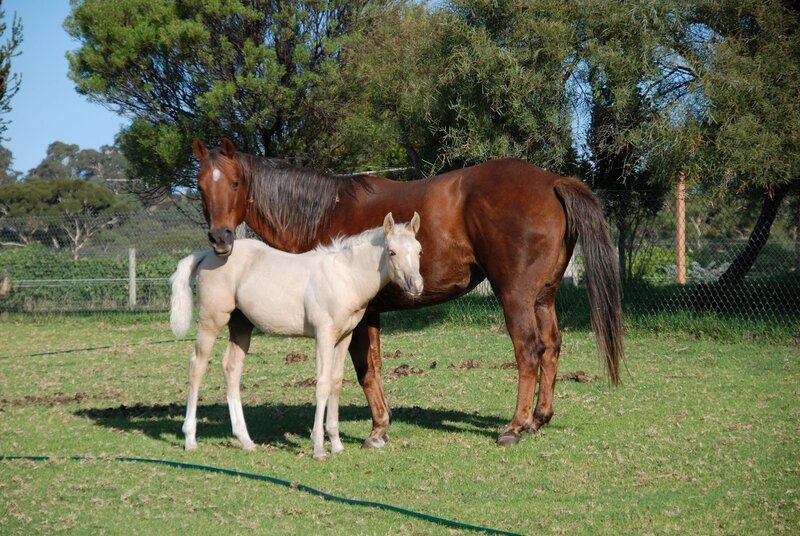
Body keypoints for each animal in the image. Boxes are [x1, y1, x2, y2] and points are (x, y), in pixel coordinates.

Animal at [169, 212, 423, 460]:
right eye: (392, 252)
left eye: (419, 251)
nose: (417, 285)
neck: (344, 277)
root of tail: (206, 255)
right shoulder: (324, 335)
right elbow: (322, 383)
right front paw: (319, 447)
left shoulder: (344, 337)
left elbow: (336, 382)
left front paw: (337, 444)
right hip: (211, 321)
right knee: (197, 366)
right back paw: (190, 439)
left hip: (241, 326)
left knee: (231, 368)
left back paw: (245, 440)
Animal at [191, 138, 624, 447]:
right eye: (199, 186)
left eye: (234, 182)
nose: (220, 238)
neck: (324, 210)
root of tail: (552, 181)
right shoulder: (368, 315)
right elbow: (373, 367)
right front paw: (381, 426)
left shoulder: (359, 316)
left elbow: (365, 369)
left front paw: (376, 430)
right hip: (542, 297)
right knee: (551, 347)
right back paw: (538, 419)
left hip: (516, 297)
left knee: (529, 351)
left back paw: (515, 427)